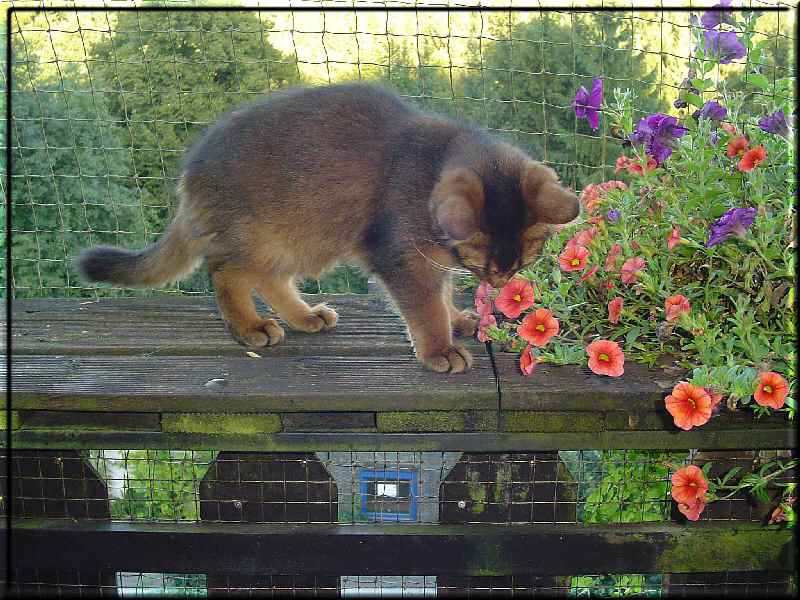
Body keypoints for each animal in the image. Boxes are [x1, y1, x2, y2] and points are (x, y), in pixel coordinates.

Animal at [76, 83, 576, 376]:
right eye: (484, 261)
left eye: (524, 260)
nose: (502, 279)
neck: (434, 162)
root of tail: (189, 172)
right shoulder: (401, 256)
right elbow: (424, 308)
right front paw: (439, 348)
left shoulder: (430, 258)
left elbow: (442, 294)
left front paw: (457, 319)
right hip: (259, 233)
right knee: (226, 275)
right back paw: (250, 327)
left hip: (299, 235)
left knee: (269, 278)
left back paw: (303, 317)